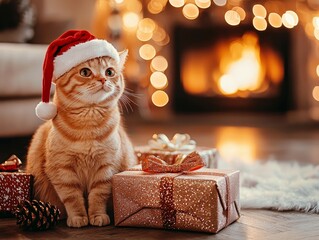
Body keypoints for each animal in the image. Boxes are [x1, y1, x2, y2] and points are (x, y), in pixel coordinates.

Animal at [26, 51, 137, 229]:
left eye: (109, 72)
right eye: (85, 72)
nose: (103, 79)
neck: (88, 126)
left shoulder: (106, 167)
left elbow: (98, 195)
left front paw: (97, 215)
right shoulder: (62, 169)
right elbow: (72, 198)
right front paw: (78, 217)